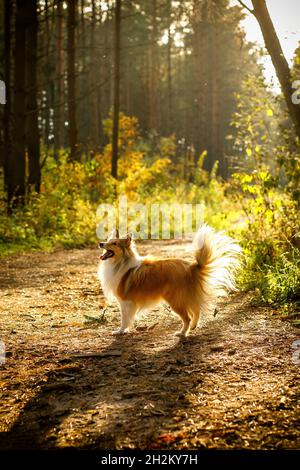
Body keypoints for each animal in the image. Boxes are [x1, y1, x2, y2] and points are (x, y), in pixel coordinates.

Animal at [98, 226, 241, 336]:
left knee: (187, 317)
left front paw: (120, 331)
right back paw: (193, 326)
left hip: (175, 300)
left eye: (114, 243)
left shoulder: (125, 302)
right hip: (185, 298)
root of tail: (191, 267)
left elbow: (124, 319)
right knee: (196, 310)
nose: (100, 244)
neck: (121, 262)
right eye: (108, 241)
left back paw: (182, 333)